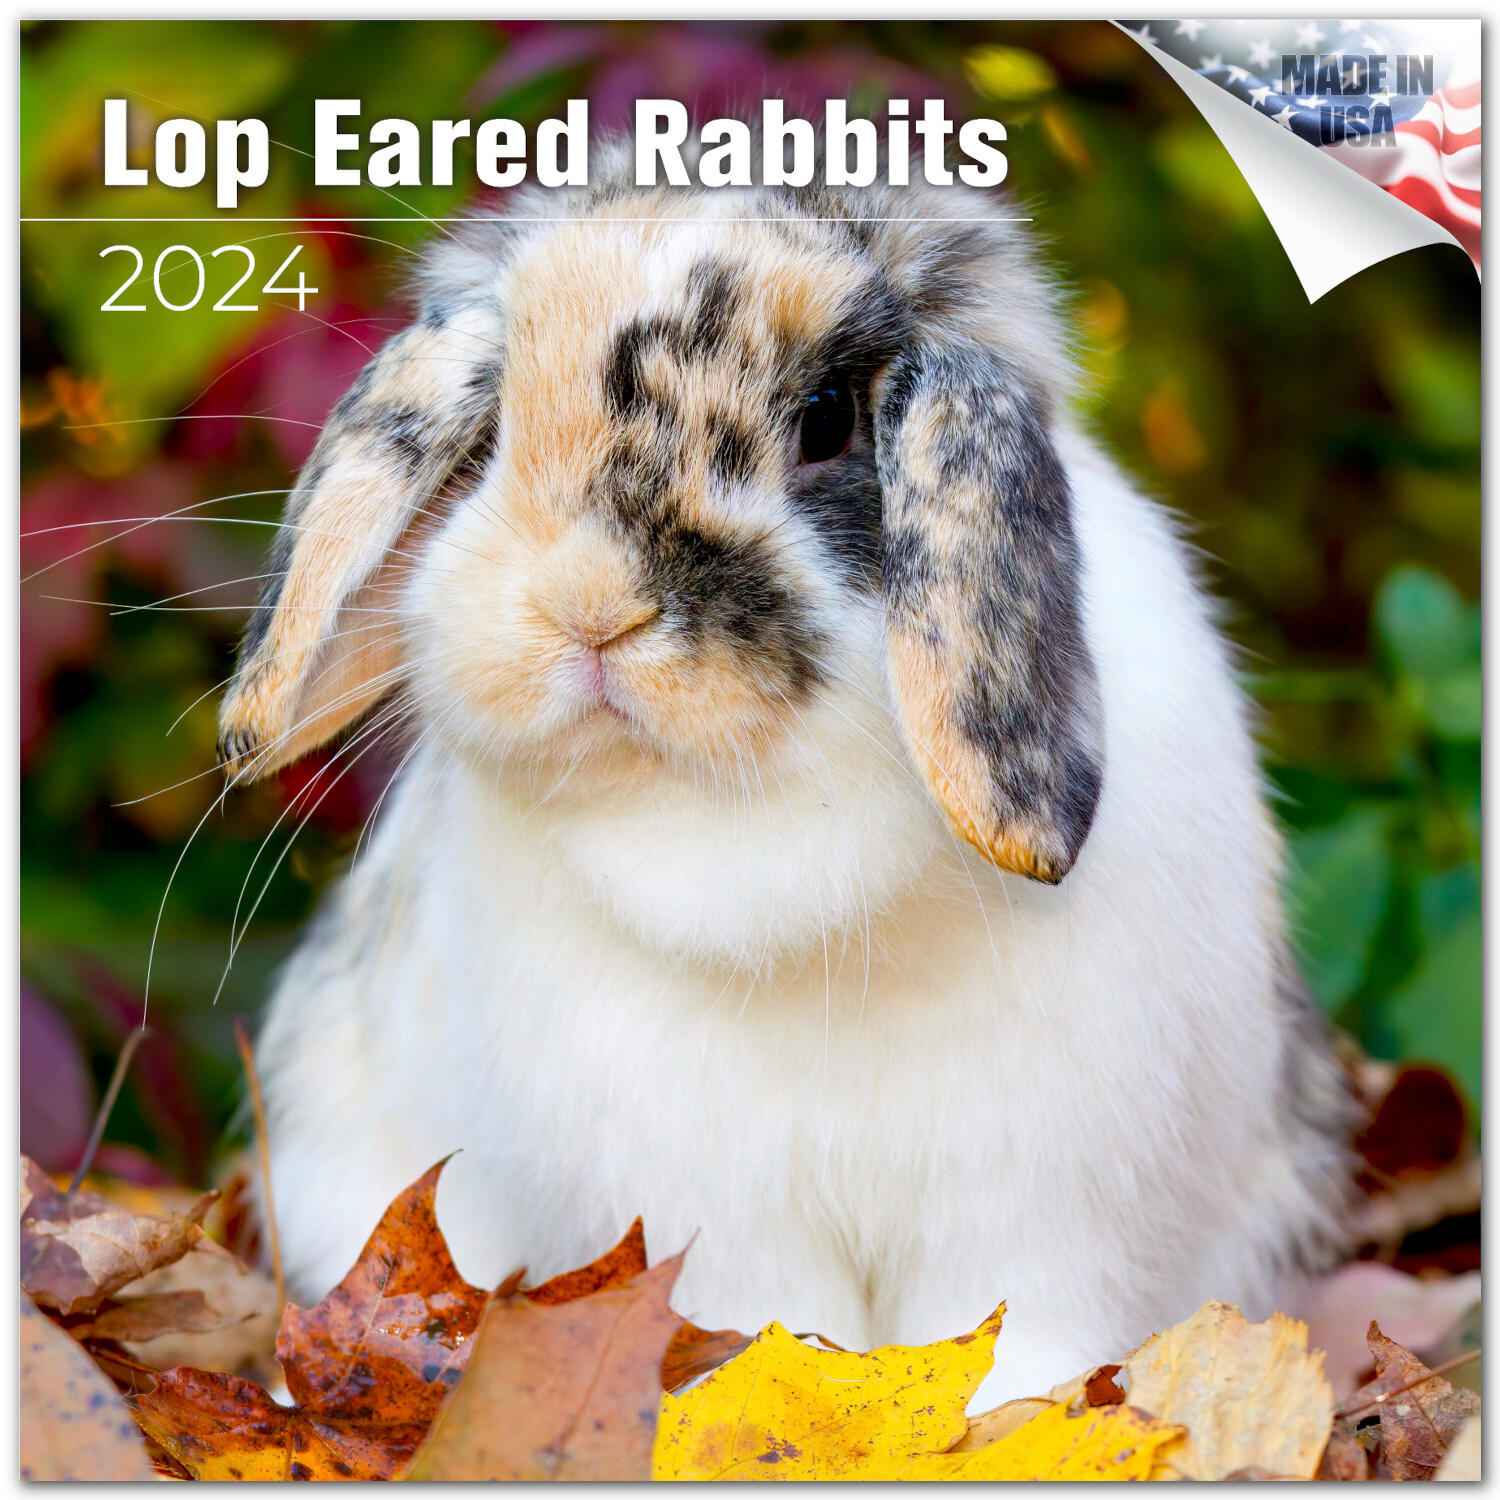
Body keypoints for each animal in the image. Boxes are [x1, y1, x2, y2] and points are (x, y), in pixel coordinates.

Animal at [220, 143, 1356, 1407]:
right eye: (500, 418)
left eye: (826, 419)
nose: (586, 606)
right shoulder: (706, 1210)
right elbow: (766, 1330)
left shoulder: (1041, 1203)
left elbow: (1019, 1339)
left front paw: (1010, 1421)